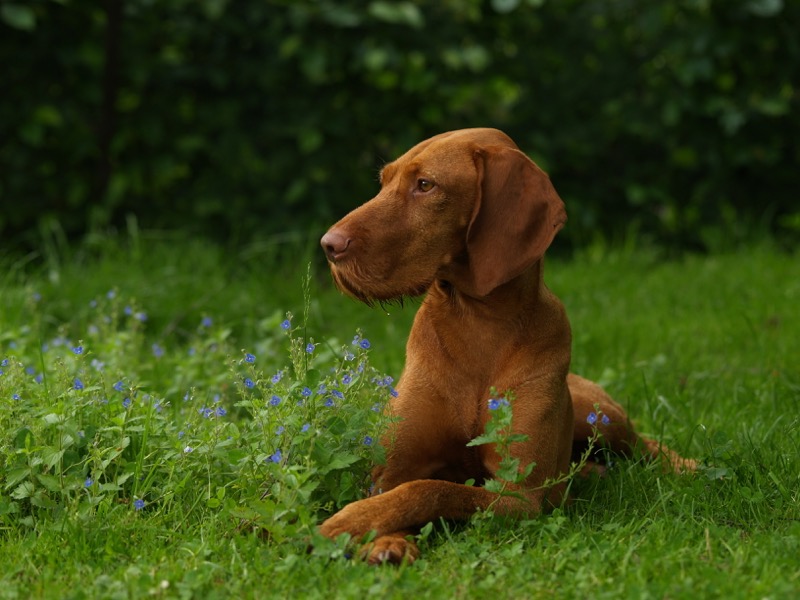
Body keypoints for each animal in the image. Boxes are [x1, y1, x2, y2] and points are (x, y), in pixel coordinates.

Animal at [319, 128, 695, 564]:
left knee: (645, 444)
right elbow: (403, 488)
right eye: (383, 182)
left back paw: (686, 465)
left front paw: (351, 520)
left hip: (601, 419)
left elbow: (430, 490)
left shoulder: (518, 495)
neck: (479, 323)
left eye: (425, 185)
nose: (328, 245)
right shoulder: (392, 468)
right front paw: (385, 540)